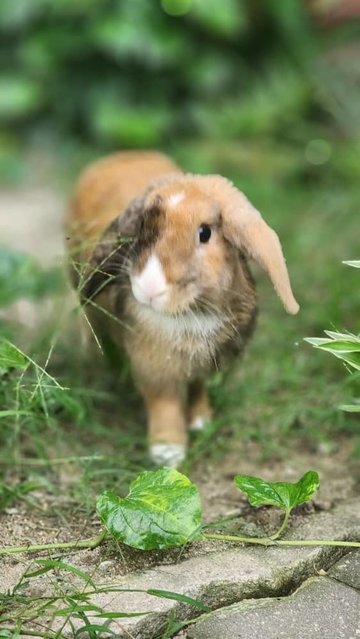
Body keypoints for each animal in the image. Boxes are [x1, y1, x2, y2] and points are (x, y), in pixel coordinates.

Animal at [67, 152, 298, 468]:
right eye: (142, 227)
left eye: (205, 233)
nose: (149, 288)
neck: (191, 313)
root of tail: (123, 156)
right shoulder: (155, 370)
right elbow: (164, 405)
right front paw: (168, 453)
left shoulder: (205, 365)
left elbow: (198, 388)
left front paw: (202, 421)